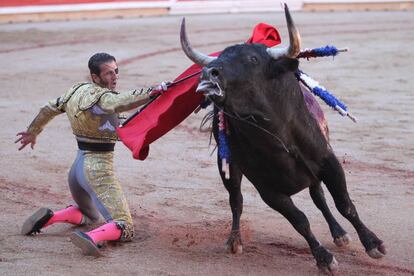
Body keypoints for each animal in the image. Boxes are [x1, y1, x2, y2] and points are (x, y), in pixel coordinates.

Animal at [180, 3, 386, 274]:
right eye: (220, 57)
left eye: (253, 59)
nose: (208, 73)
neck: (277, 135)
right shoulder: (269, 190)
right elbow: (300, 221)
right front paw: (324, 258)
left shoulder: (328, 162)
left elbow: (345, 204)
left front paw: (373, 244)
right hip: (230, 171)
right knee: (236, 200)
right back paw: (234, 241)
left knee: (319, 198)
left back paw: (339, 233)